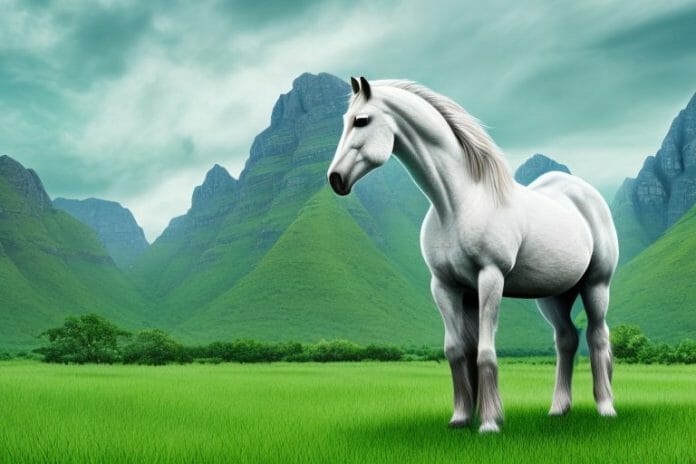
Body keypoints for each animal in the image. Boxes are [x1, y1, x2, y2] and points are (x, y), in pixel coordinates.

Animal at [327, 76, 618, 433]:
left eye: (362, 120)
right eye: (346, 120)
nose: (336, 178)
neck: (457, 203)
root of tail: (586, 194)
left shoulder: (490, 279)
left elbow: (484, 352)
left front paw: (490, 421)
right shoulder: (447, 287)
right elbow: (457, 350)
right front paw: (462, 417)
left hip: (596, 286)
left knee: (597, 337)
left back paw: (606, 408)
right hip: (554, 296)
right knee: (567, 340)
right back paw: (558, 409)